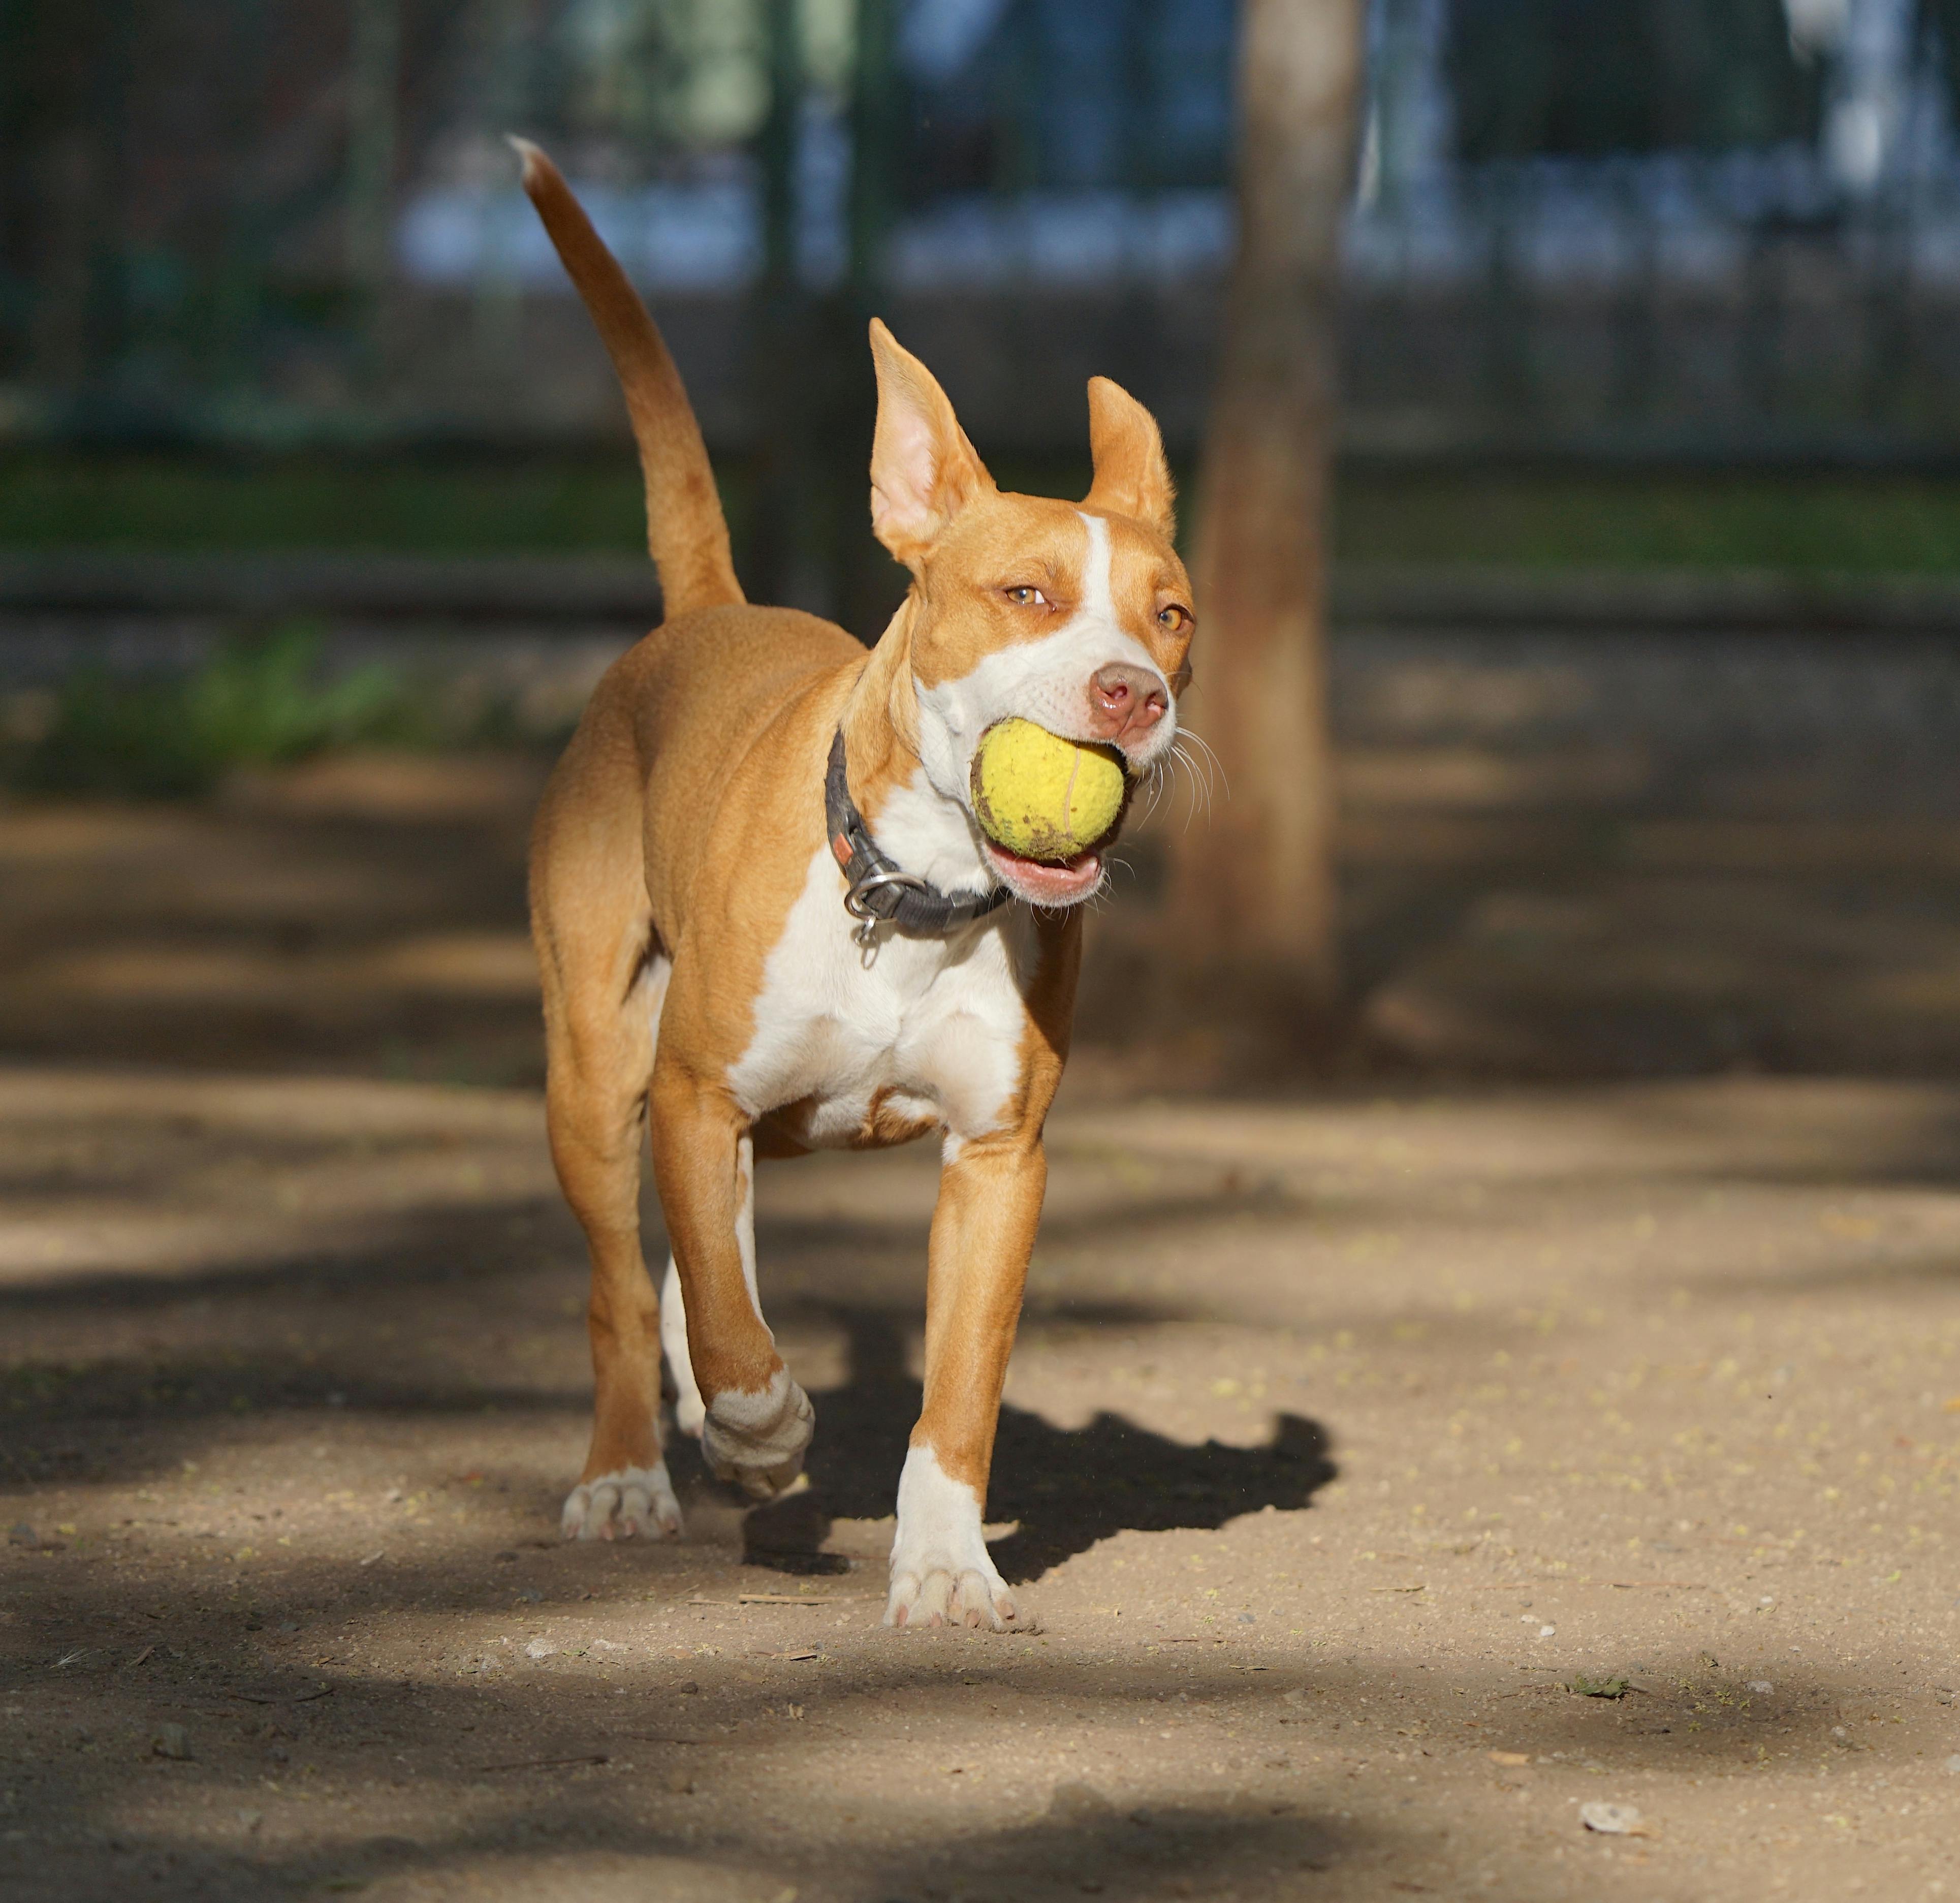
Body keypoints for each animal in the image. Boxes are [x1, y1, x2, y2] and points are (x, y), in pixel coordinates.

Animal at [513, 141, 1191, 1630]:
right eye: (1025, 594)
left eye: (1172, 614)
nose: (1136, 693)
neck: (909, 900)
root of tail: (706, 613)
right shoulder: (695, 1094)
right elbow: (727, 1320)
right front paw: (760, 1433)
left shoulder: (999, 1161)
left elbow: (959, 1388)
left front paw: (944, 1566)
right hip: (597, 1068)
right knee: (620, 1283)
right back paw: (631, 1471)